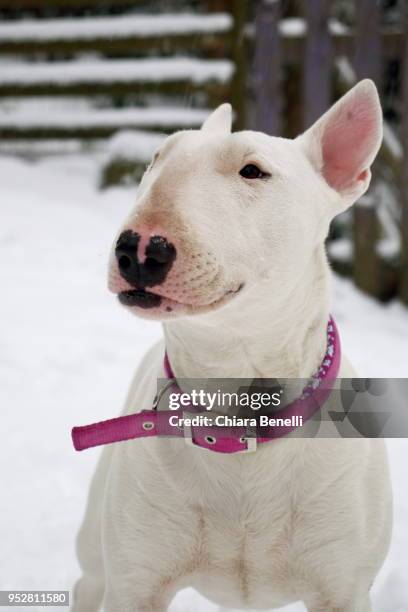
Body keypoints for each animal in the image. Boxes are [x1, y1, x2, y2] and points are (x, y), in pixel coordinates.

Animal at [72, 79, 392, 608]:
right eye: (155, 159)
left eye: (253, 171)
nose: (139, 247)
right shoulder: (135, 585)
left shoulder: (344, 589)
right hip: (99, 548)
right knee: (88, 580)